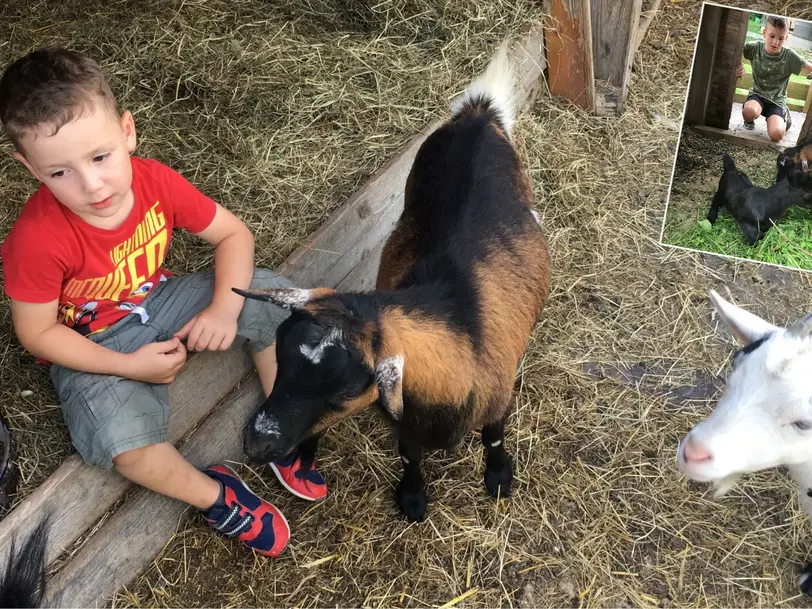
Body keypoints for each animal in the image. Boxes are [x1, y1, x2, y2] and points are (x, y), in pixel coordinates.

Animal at [235, 42, 552, 520]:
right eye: (280, 353)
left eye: (348, 387)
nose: (257, 443)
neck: (461, 327)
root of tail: (479, 115)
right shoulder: (404, 419)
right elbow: (409, 454)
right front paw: (412, 495)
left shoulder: (497, 396)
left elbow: (494, 435)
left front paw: (498, 476)